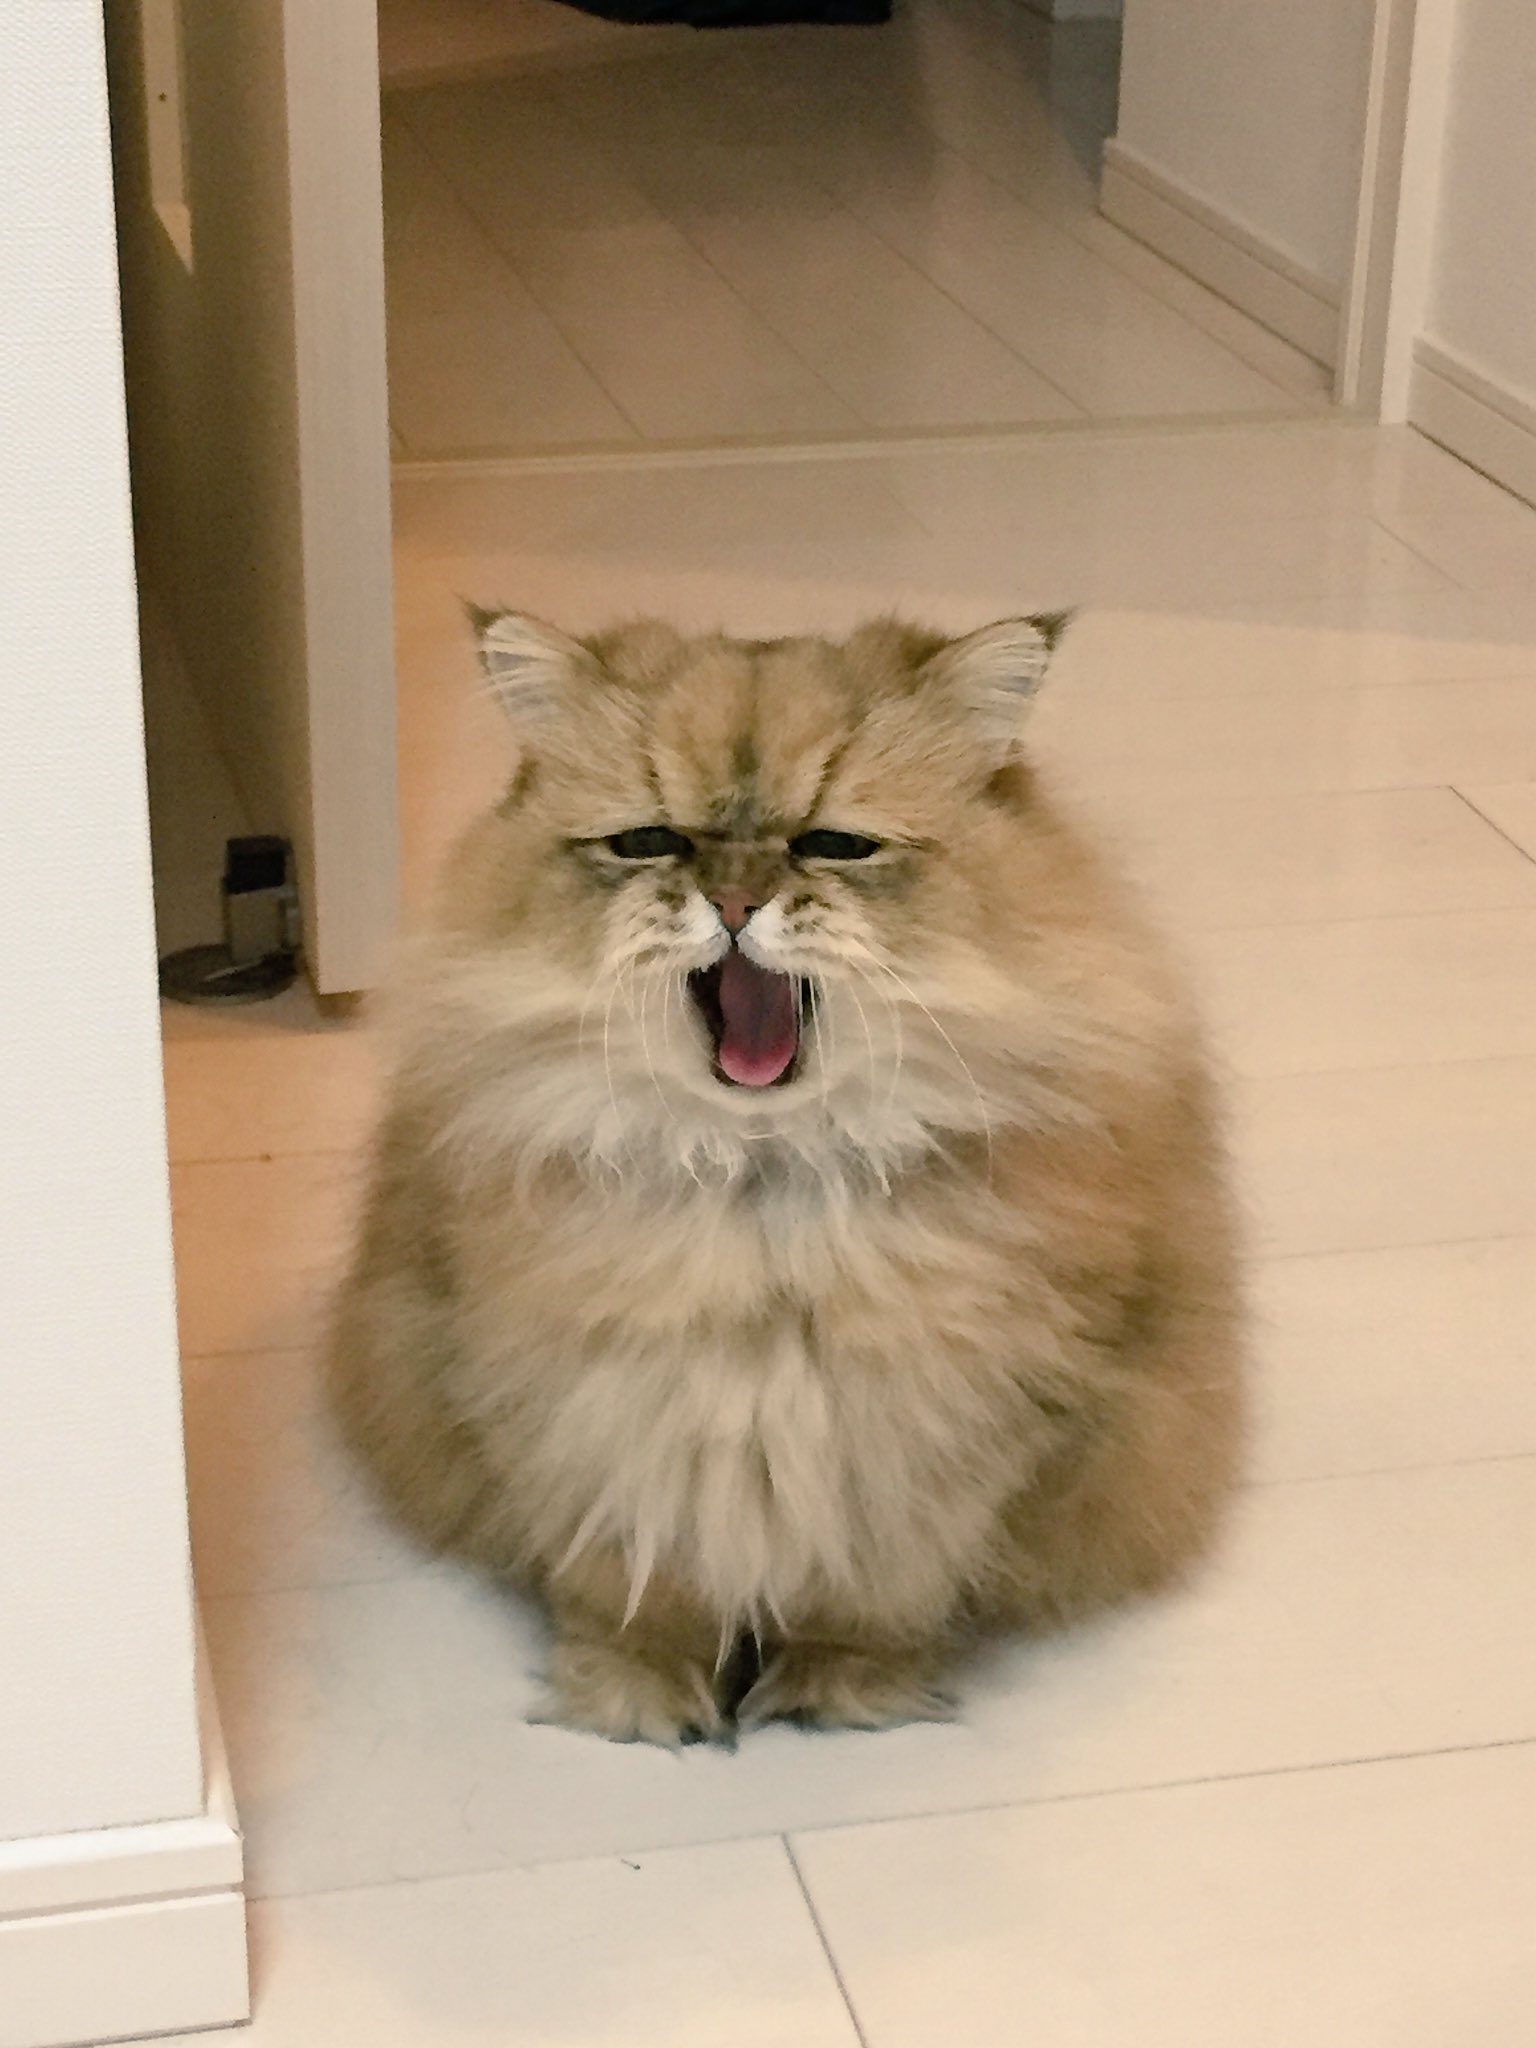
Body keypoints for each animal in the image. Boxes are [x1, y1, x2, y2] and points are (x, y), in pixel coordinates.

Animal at [329, 609, 1244, 1744]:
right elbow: (632, 1583)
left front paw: (840, 1689)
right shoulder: (587, 1410)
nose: (733, 899)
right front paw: (639, 1695)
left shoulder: (938, 1441)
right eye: (649, 841)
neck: (760, 1181)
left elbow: (875, 1595)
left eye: (834, 844)